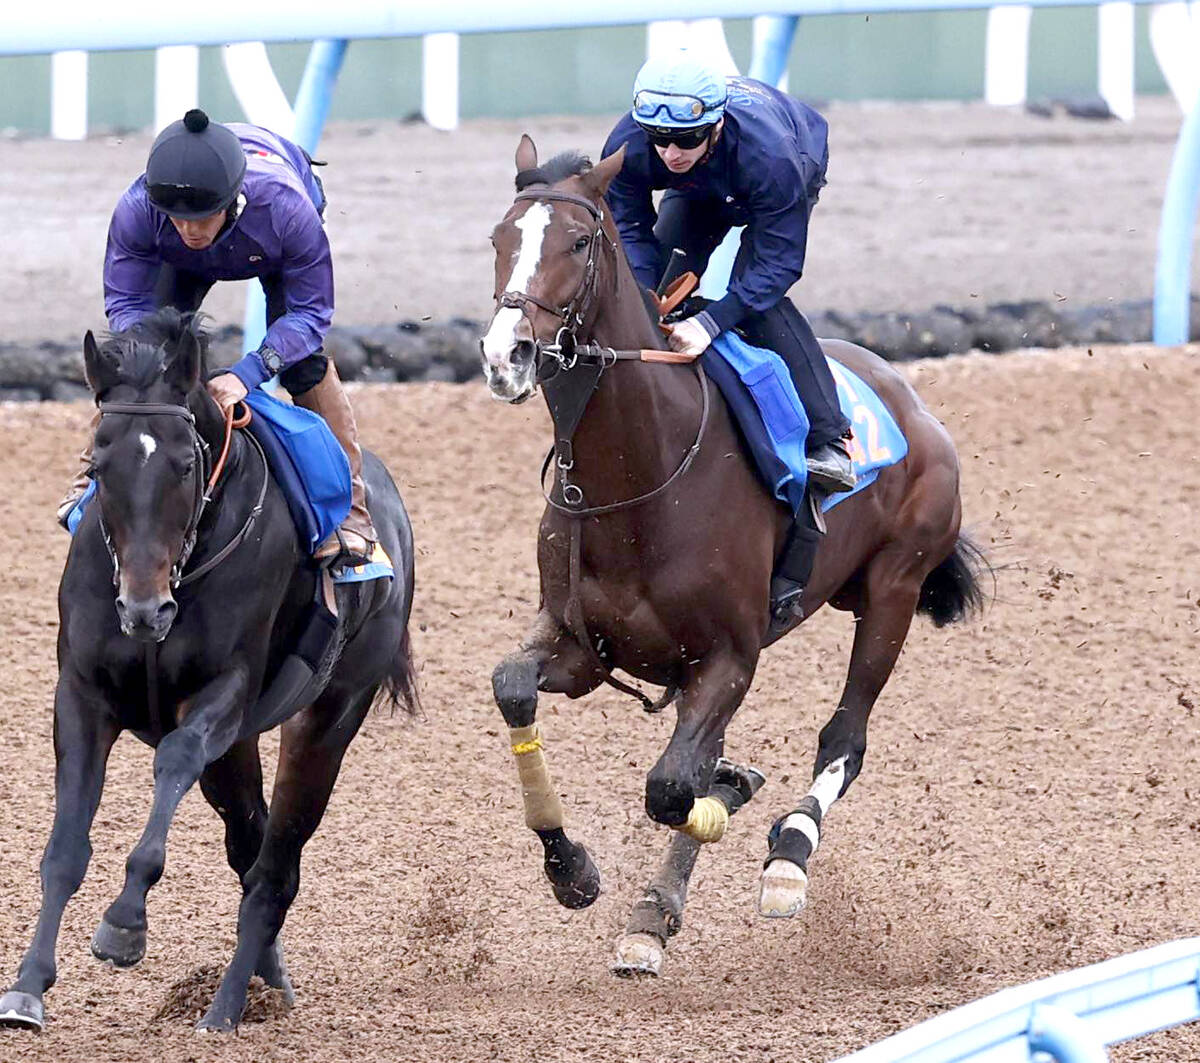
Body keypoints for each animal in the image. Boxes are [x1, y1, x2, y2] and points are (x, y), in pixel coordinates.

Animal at [0, 309, 418, 1031]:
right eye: (98, 459)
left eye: (185, 461)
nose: (144, 608)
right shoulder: (81, 694)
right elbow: (65, 845)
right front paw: (27, 986)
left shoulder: (222, 694)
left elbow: (173, 759)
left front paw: (124, 924)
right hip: (238, 750)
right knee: (251, 846)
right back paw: (265, 982)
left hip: (327, 718)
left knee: (275, 869)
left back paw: (223, 1010)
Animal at [479, 136, 986, 976]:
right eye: (499, 238)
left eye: (578, 243)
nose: (505, 354)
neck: (643, 475)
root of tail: (913, 402)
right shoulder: (582, 646)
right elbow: (514, 687)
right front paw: (571, 867)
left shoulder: (728, 657)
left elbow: (671, 787)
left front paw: (709, 833)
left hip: (896, 587)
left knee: (844, 736)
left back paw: (789, 853)